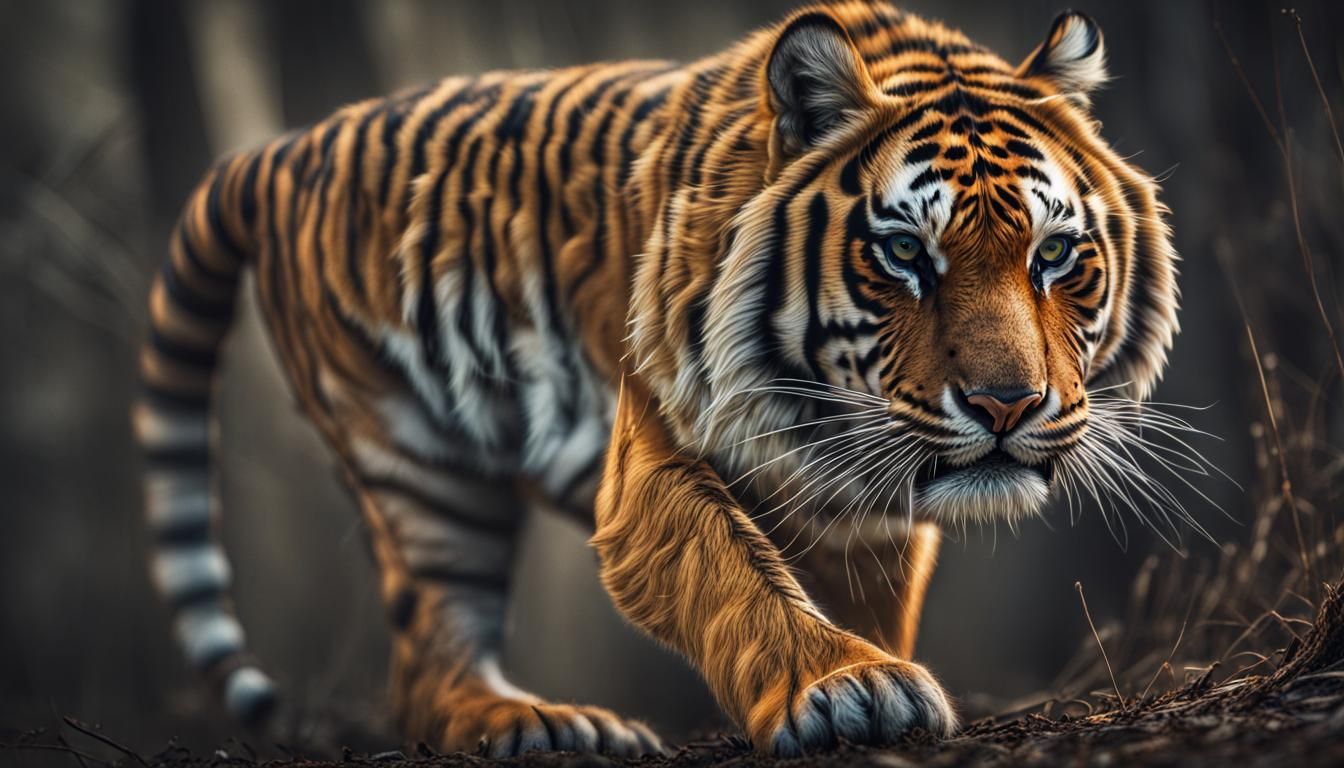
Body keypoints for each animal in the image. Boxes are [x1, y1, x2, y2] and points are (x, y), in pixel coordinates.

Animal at [134, 1, 1178, 758]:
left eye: (1053, 255)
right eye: (903, 253)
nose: (1008, 406)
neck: (833, 432)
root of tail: (282, 149)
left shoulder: (873, 516)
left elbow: (867, 590)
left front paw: (871, 665)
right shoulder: (652, 461)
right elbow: (735, 567)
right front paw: (849, 687)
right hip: (418, 467)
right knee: (426, 665)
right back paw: (538, 727)